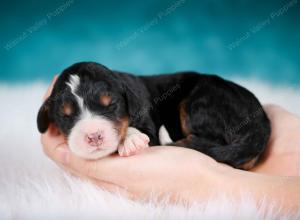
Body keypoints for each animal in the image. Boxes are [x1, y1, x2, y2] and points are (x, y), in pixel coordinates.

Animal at [36, 62, 270, 170]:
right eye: (65, 116)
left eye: (111, 105)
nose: (93, 136)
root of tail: (260, 124)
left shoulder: (148, 122)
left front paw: (131, 140)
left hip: (200, 102)